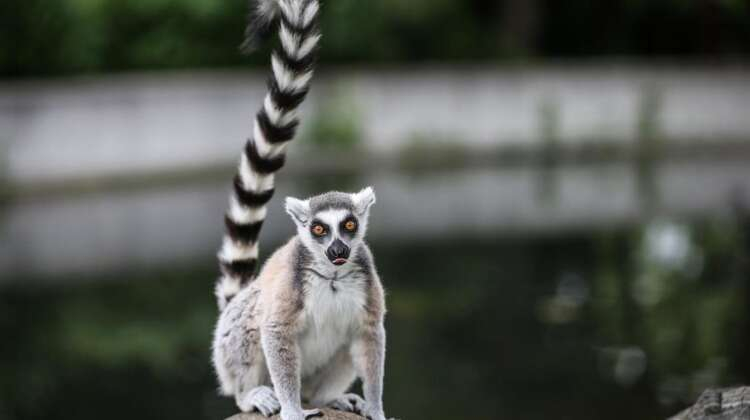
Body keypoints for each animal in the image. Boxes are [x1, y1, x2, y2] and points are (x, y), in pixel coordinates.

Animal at [211, 2, 387, 420]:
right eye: (320, 229)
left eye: (350, 225)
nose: (338, 250)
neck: (332, 277)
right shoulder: (288, 295)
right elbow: (275, 331)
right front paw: (292, 410)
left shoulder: (368, 287)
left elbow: (369, 335)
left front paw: (377, 409)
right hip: (232, 344)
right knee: (250, 324)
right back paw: (253, 394)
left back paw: (330, 398)